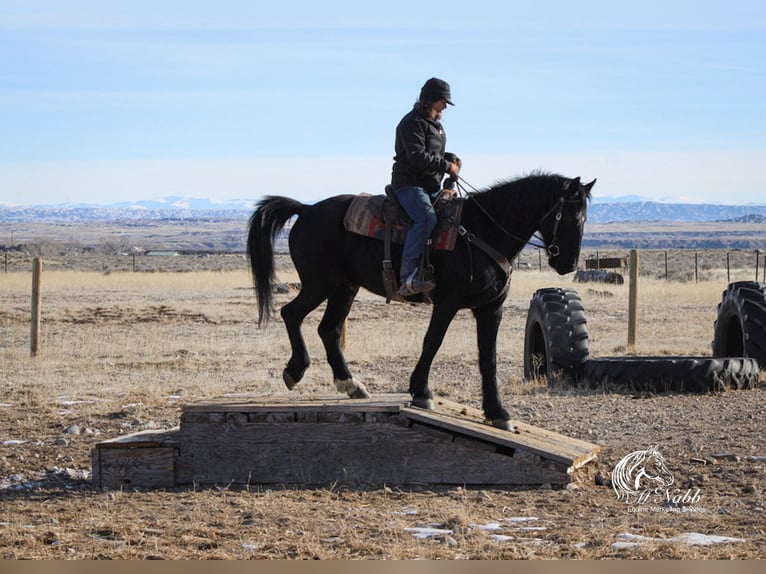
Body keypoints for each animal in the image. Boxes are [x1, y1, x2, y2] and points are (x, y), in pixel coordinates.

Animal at [249, 173, 596, 430]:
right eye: (568, 216)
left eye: (584, 218)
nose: (568, 264)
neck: (482, 232)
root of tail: (306, 209)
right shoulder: (447, 302)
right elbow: (433, 342)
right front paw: (421, 392)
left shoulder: (490, 309)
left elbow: (489, 357)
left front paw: (498, 412)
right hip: (320, 284)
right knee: (292, 314)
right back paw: (296, 370)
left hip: (344, 287)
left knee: (328, 330)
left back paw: (350, 384)